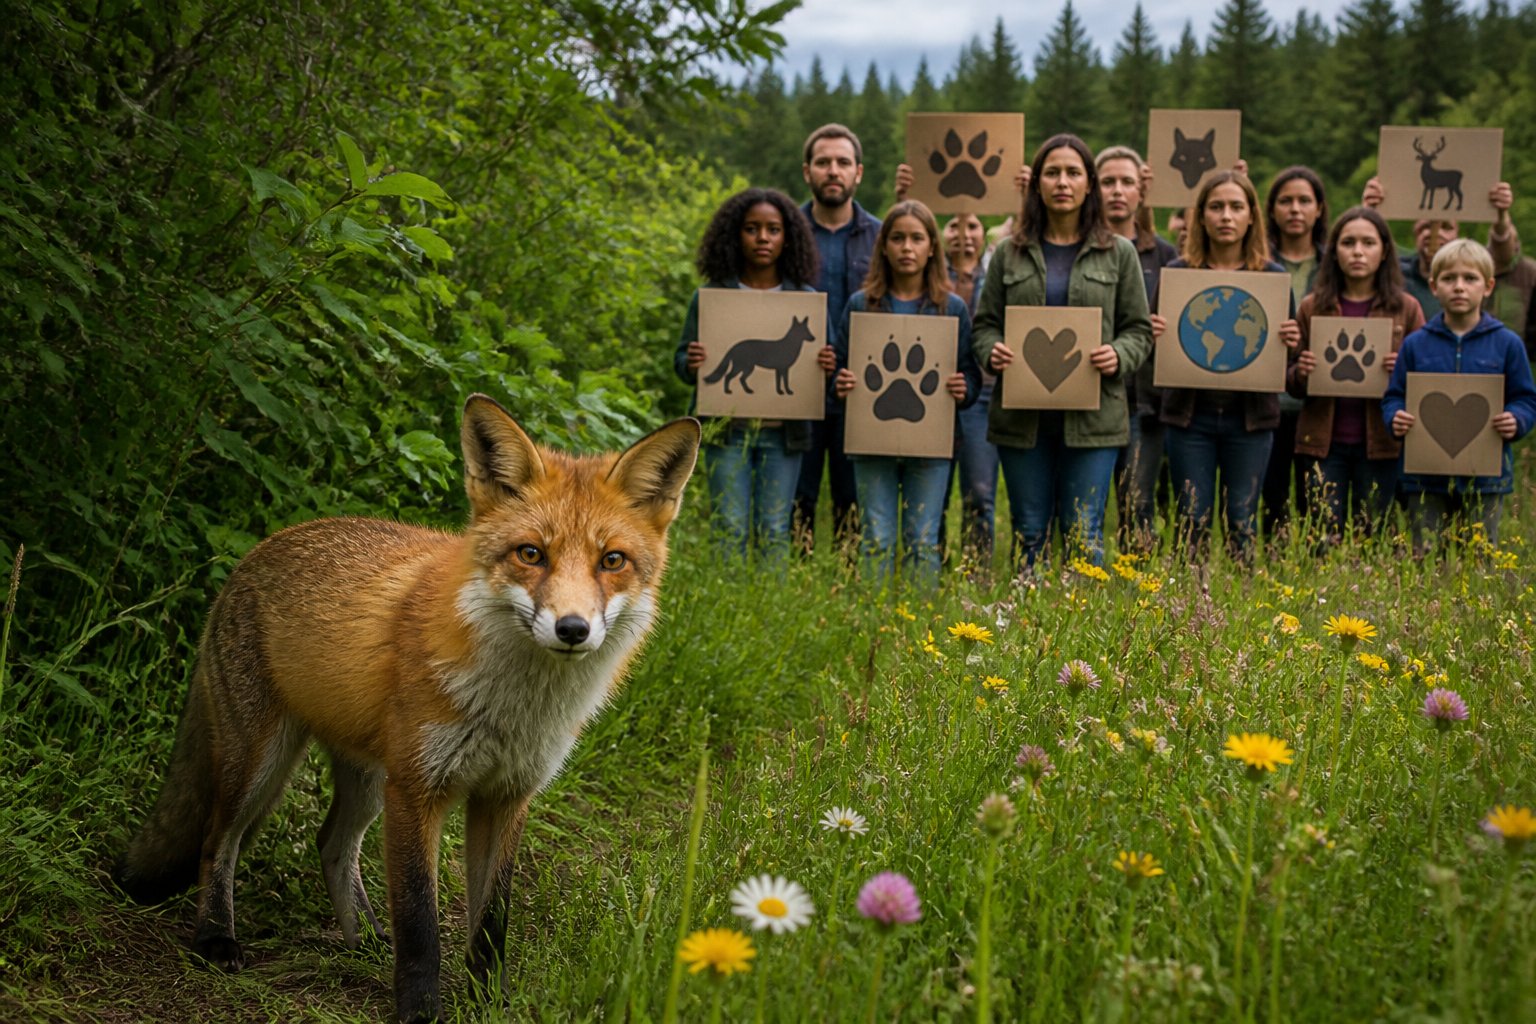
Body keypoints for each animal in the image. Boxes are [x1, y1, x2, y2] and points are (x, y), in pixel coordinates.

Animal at [114, 394, 700, 1023]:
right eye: (531, 554)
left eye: (612, 560)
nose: (573, 629)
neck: (516, 706)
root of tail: (260, 548)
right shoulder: (418, 789)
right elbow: (420, 920)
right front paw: (420, 1010)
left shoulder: (506, 794)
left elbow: (492, 919)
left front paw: (490, 1000)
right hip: (262, 764)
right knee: (215, 842)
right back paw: (216, 938)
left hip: (370, 778)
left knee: (331, 844)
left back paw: (368, 940)